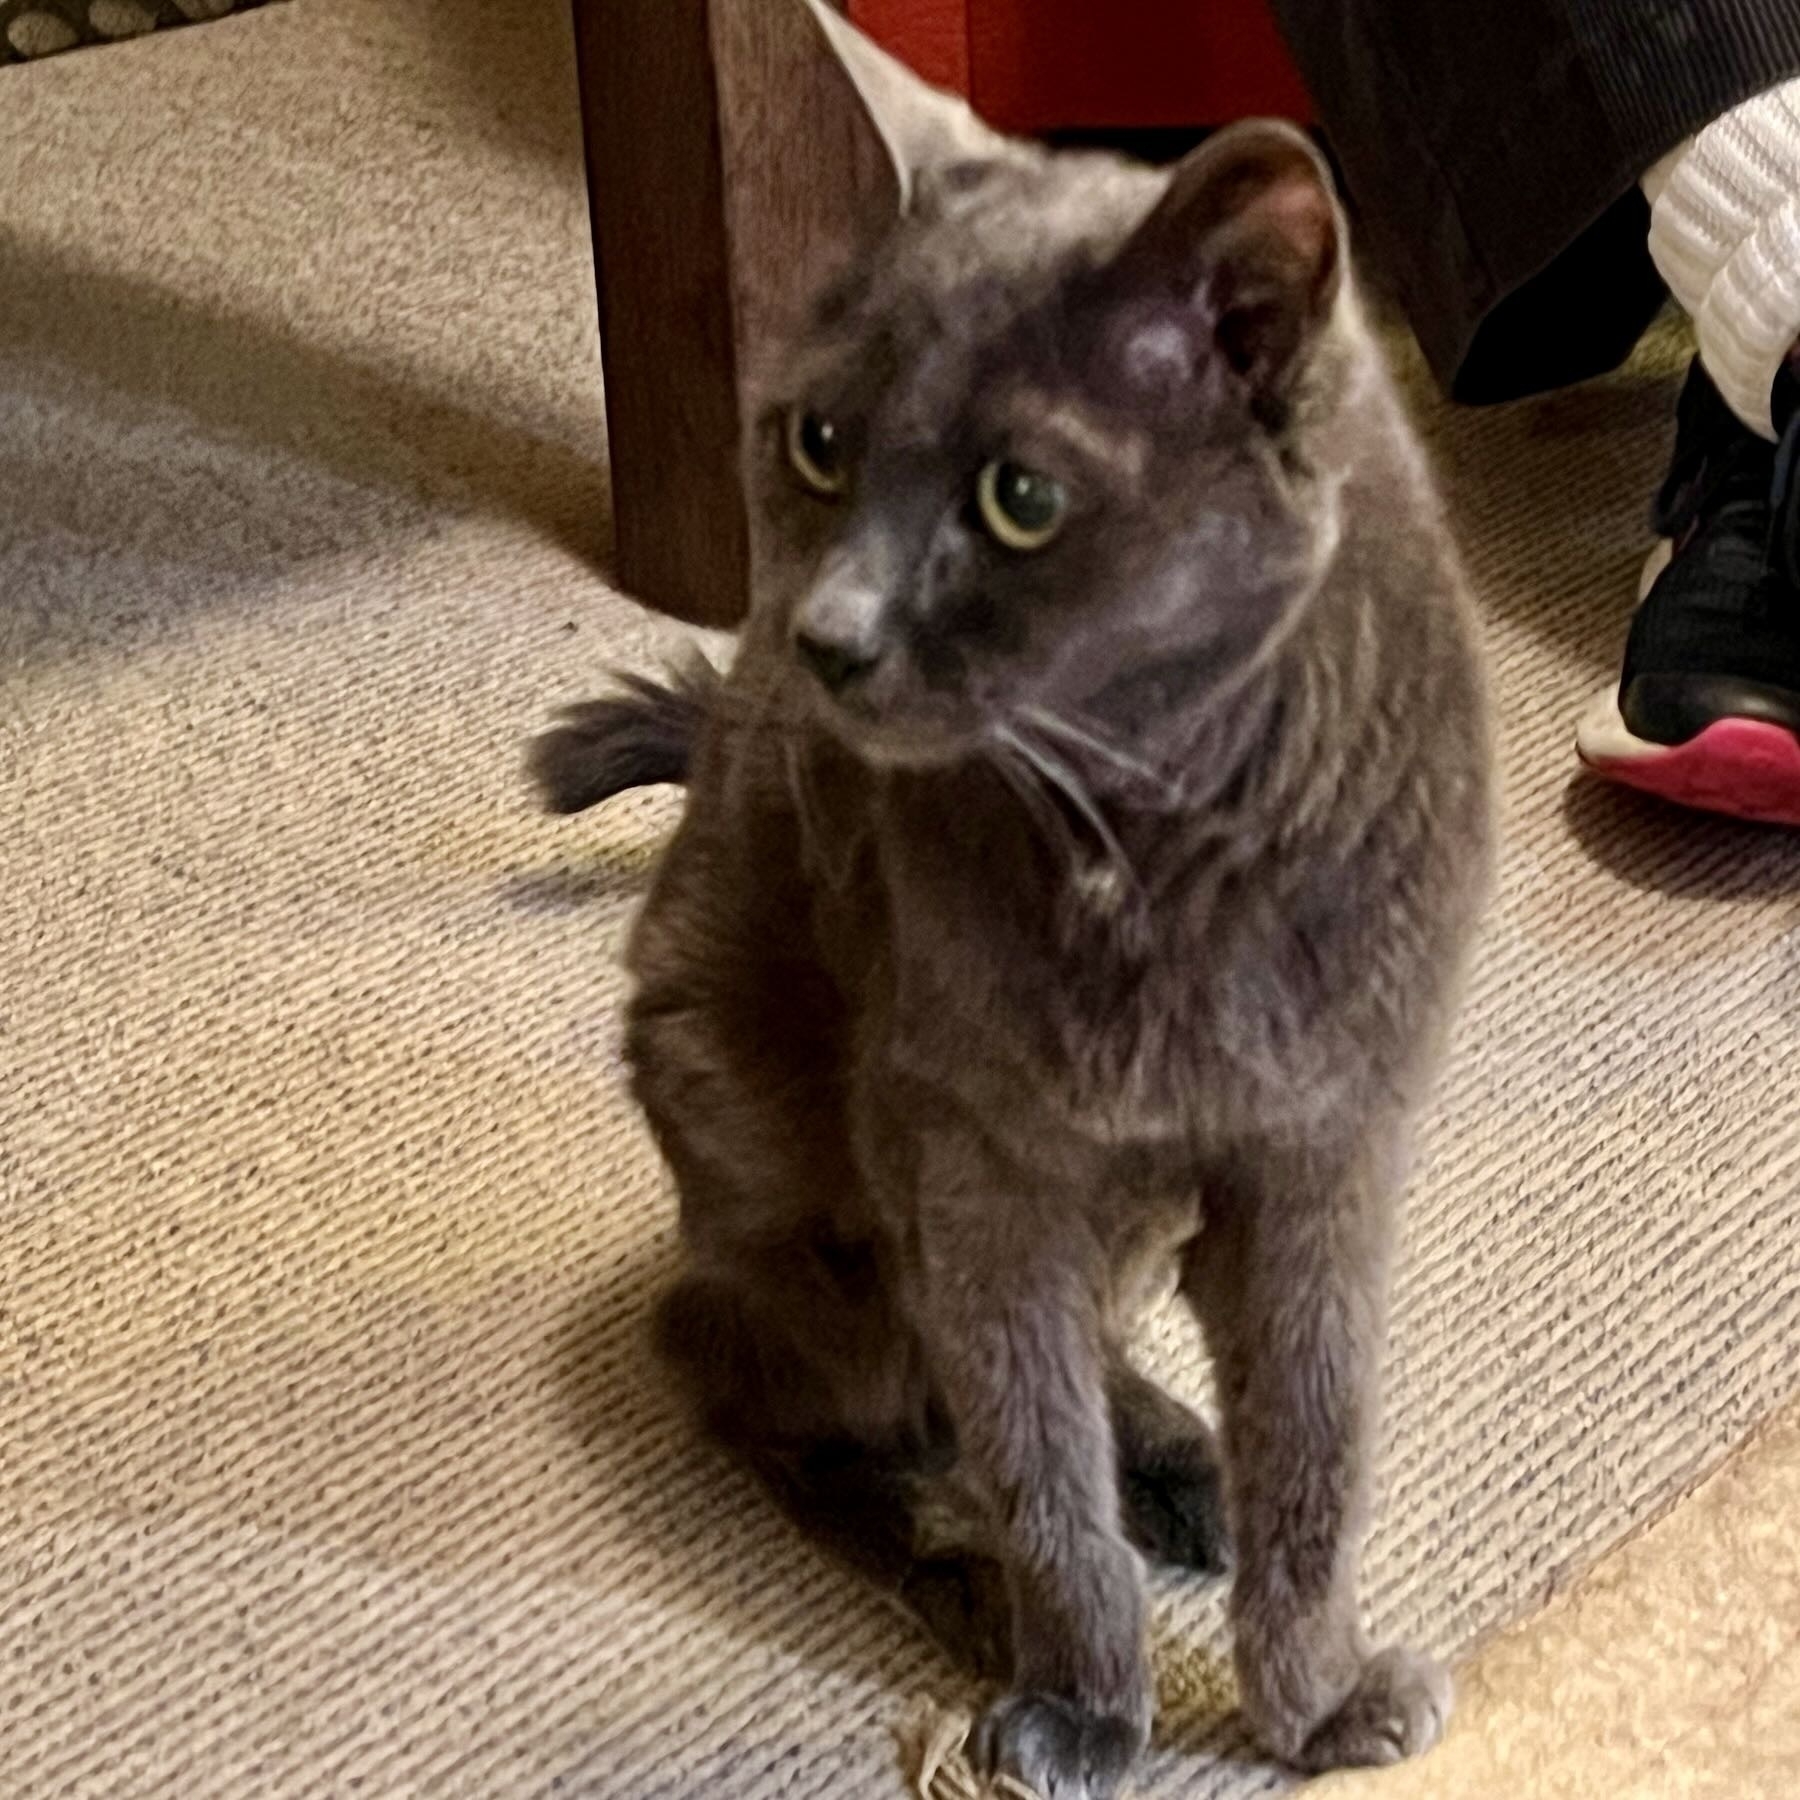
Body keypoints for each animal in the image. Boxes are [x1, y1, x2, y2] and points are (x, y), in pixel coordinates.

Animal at [532, 7, 1490, 1792]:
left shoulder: (1329, 1147)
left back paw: (1178, 1457)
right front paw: (1085, 1703)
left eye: (1019, 500)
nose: (825, 637)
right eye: (819, 442)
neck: (1159, 836)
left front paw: (1317, 1705)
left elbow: (1316, 1448)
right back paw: (972, 1567)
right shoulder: (980, 1164)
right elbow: (1035, 1465)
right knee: (774, 1379)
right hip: (783, 1167)